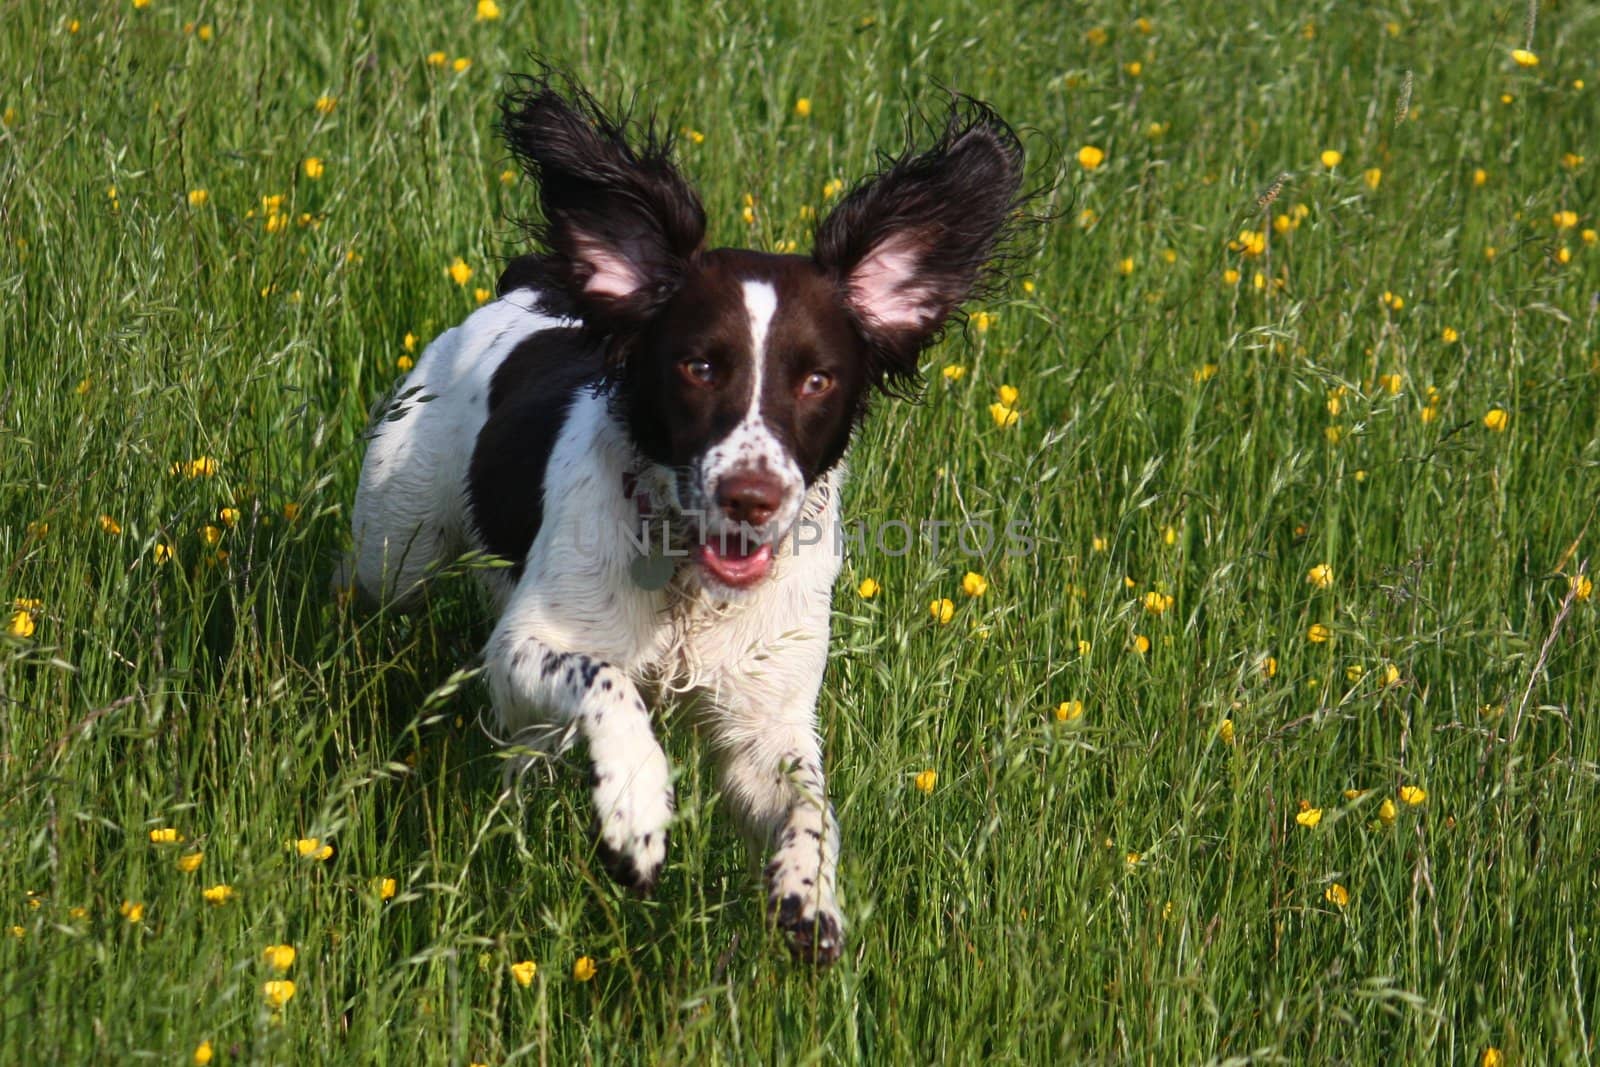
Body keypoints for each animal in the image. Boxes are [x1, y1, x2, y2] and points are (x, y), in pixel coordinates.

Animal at [347, 70, 1024, 966]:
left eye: (817, 379)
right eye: (700, 366)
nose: (751, 496)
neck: (689, 584)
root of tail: (531, 283)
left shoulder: (765, 718)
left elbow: (809, 803)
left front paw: (810, 898)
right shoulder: (523, 645)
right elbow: (606, 682)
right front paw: (636, 810)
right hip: (396, 547)